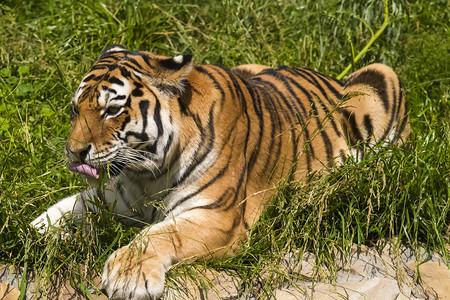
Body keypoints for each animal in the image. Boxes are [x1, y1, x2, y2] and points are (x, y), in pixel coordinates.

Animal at [32, 45, 412, 300]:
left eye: (112, 110)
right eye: (75, 110)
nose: (73, 152)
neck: (147, 175)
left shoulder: (218, 216)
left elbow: (159, 234)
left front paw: (128, 275)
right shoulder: (114, 197)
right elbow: (67, 208)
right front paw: (32, 233)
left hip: (381, 78)